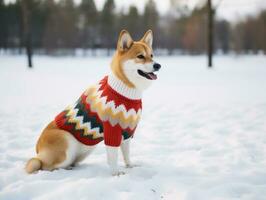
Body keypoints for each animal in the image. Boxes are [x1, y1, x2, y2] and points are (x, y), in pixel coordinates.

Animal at [26, 29, 161, 175]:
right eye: (140, 56)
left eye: (152, 55)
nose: (158, 65)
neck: (125, 89)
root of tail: (37, 150)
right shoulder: (111, 130)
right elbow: (113, 156)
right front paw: (115, 173)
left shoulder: (127, 131)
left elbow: (126, 154)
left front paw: (130, 166)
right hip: (66, 141)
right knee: (44, 166)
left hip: (86, 149)